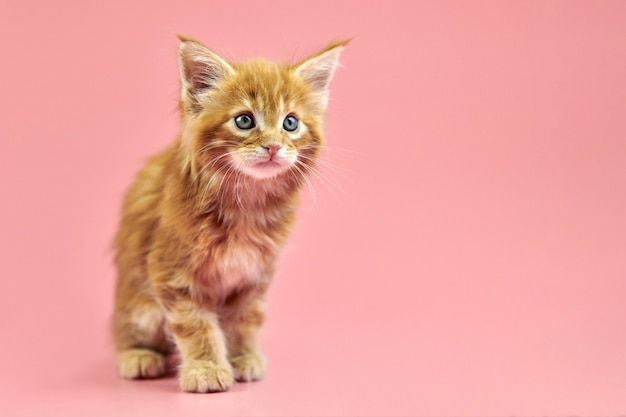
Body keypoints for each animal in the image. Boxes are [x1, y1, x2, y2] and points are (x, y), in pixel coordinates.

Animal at [112, 35, 346, 390]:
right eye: (244, 120)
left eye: (290, 123)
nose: (273, 146)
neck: (246, 203)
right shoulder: (172, 271)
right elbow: (195, 324)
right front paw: (206, 368)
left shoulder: (253, 275)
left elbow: (243, 321)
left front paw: (242, 359)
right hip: (137, 302)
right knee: (127, 331)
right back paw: (139, 356)